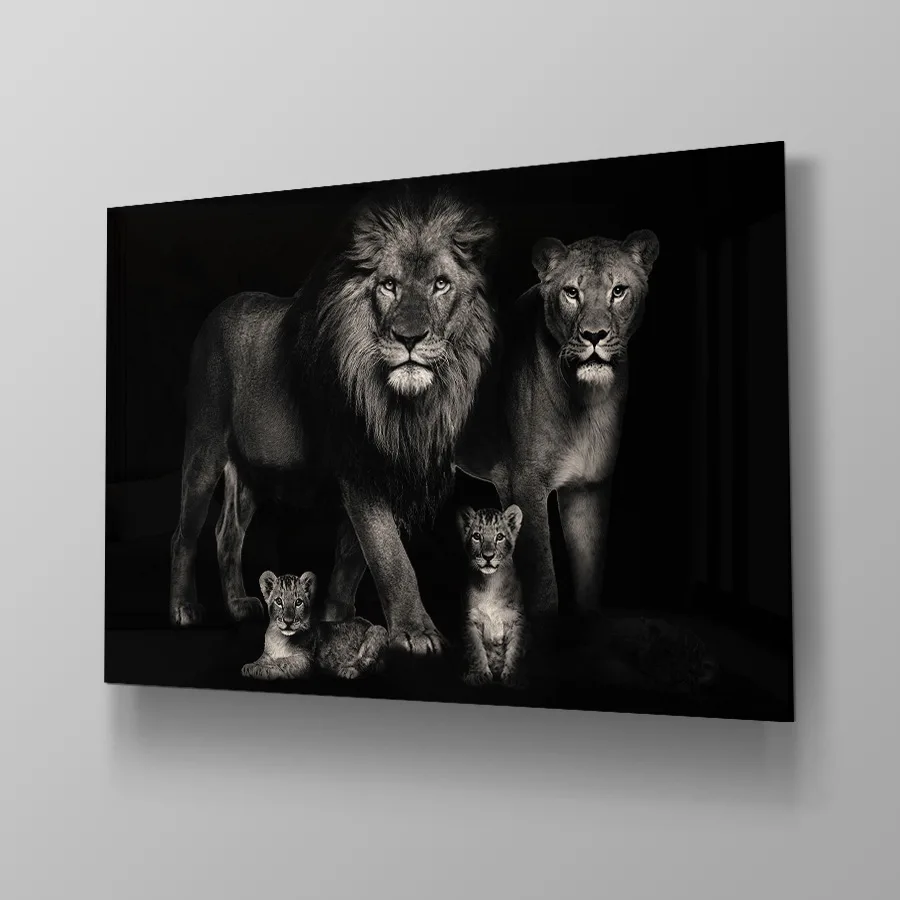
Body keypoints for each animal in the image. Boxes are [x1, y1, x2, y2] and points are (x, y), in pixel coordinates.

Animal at [169, 189, 497, 656]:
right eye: (389, 285)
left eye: (440, 284)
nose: (409, 339)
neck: (406, 406)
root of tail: (221, 307)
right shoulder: (360, 468)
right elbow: (388, 554)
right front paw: (417, 633)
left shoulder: (385, 470)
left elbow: (352, 557)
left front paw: (334, 618)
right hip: (204, 445)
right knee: (185, 533)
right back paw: (183, 609)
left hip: (252, 471)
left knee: (227, 533)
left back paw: (236, 605)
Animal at [456, 230, 659, 618]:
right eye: (572, 292)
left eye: (618, 291)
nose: (594, 335)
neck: (589, 402)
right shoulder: (524, 482)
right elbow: (544, 584)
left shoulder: (589, 487)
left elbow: (590, 575)